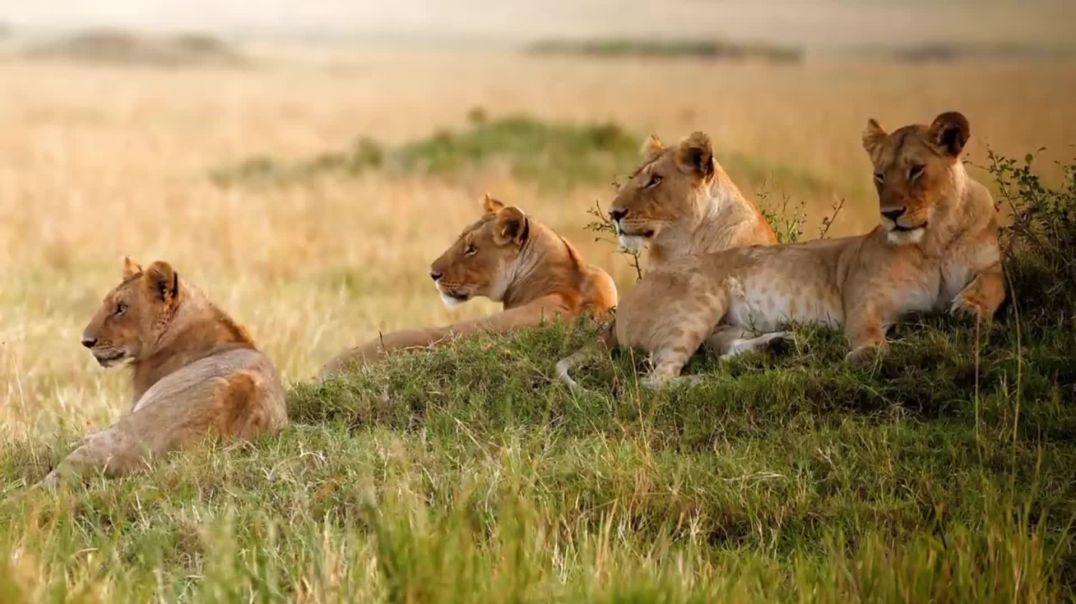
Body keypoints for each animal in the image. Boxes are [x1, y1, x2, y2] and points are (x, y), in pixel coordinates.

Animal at [559, 111, 1005, 388]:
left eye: (655, 180)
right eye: (879, 175)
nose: (614, 213)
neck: (932, 240)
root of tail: (619, 315)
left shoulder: (986, 265)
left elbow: (991, 282)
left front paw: (969, 309)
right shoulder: (862, 303)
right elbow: (869, 338)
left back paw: (776, 346)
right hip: (699, 302)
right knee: (656, 379)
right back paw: (710, 380)